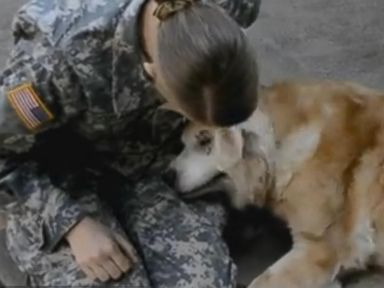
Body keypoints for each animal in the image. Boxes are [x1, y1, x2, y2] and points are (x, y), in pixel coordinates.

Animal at [171, 80, 384, 288]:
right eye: (182, 143)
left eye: (205, 140)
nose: (167, 175)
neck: (277, 141)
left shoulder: (320, 249)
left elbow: (260, 282)